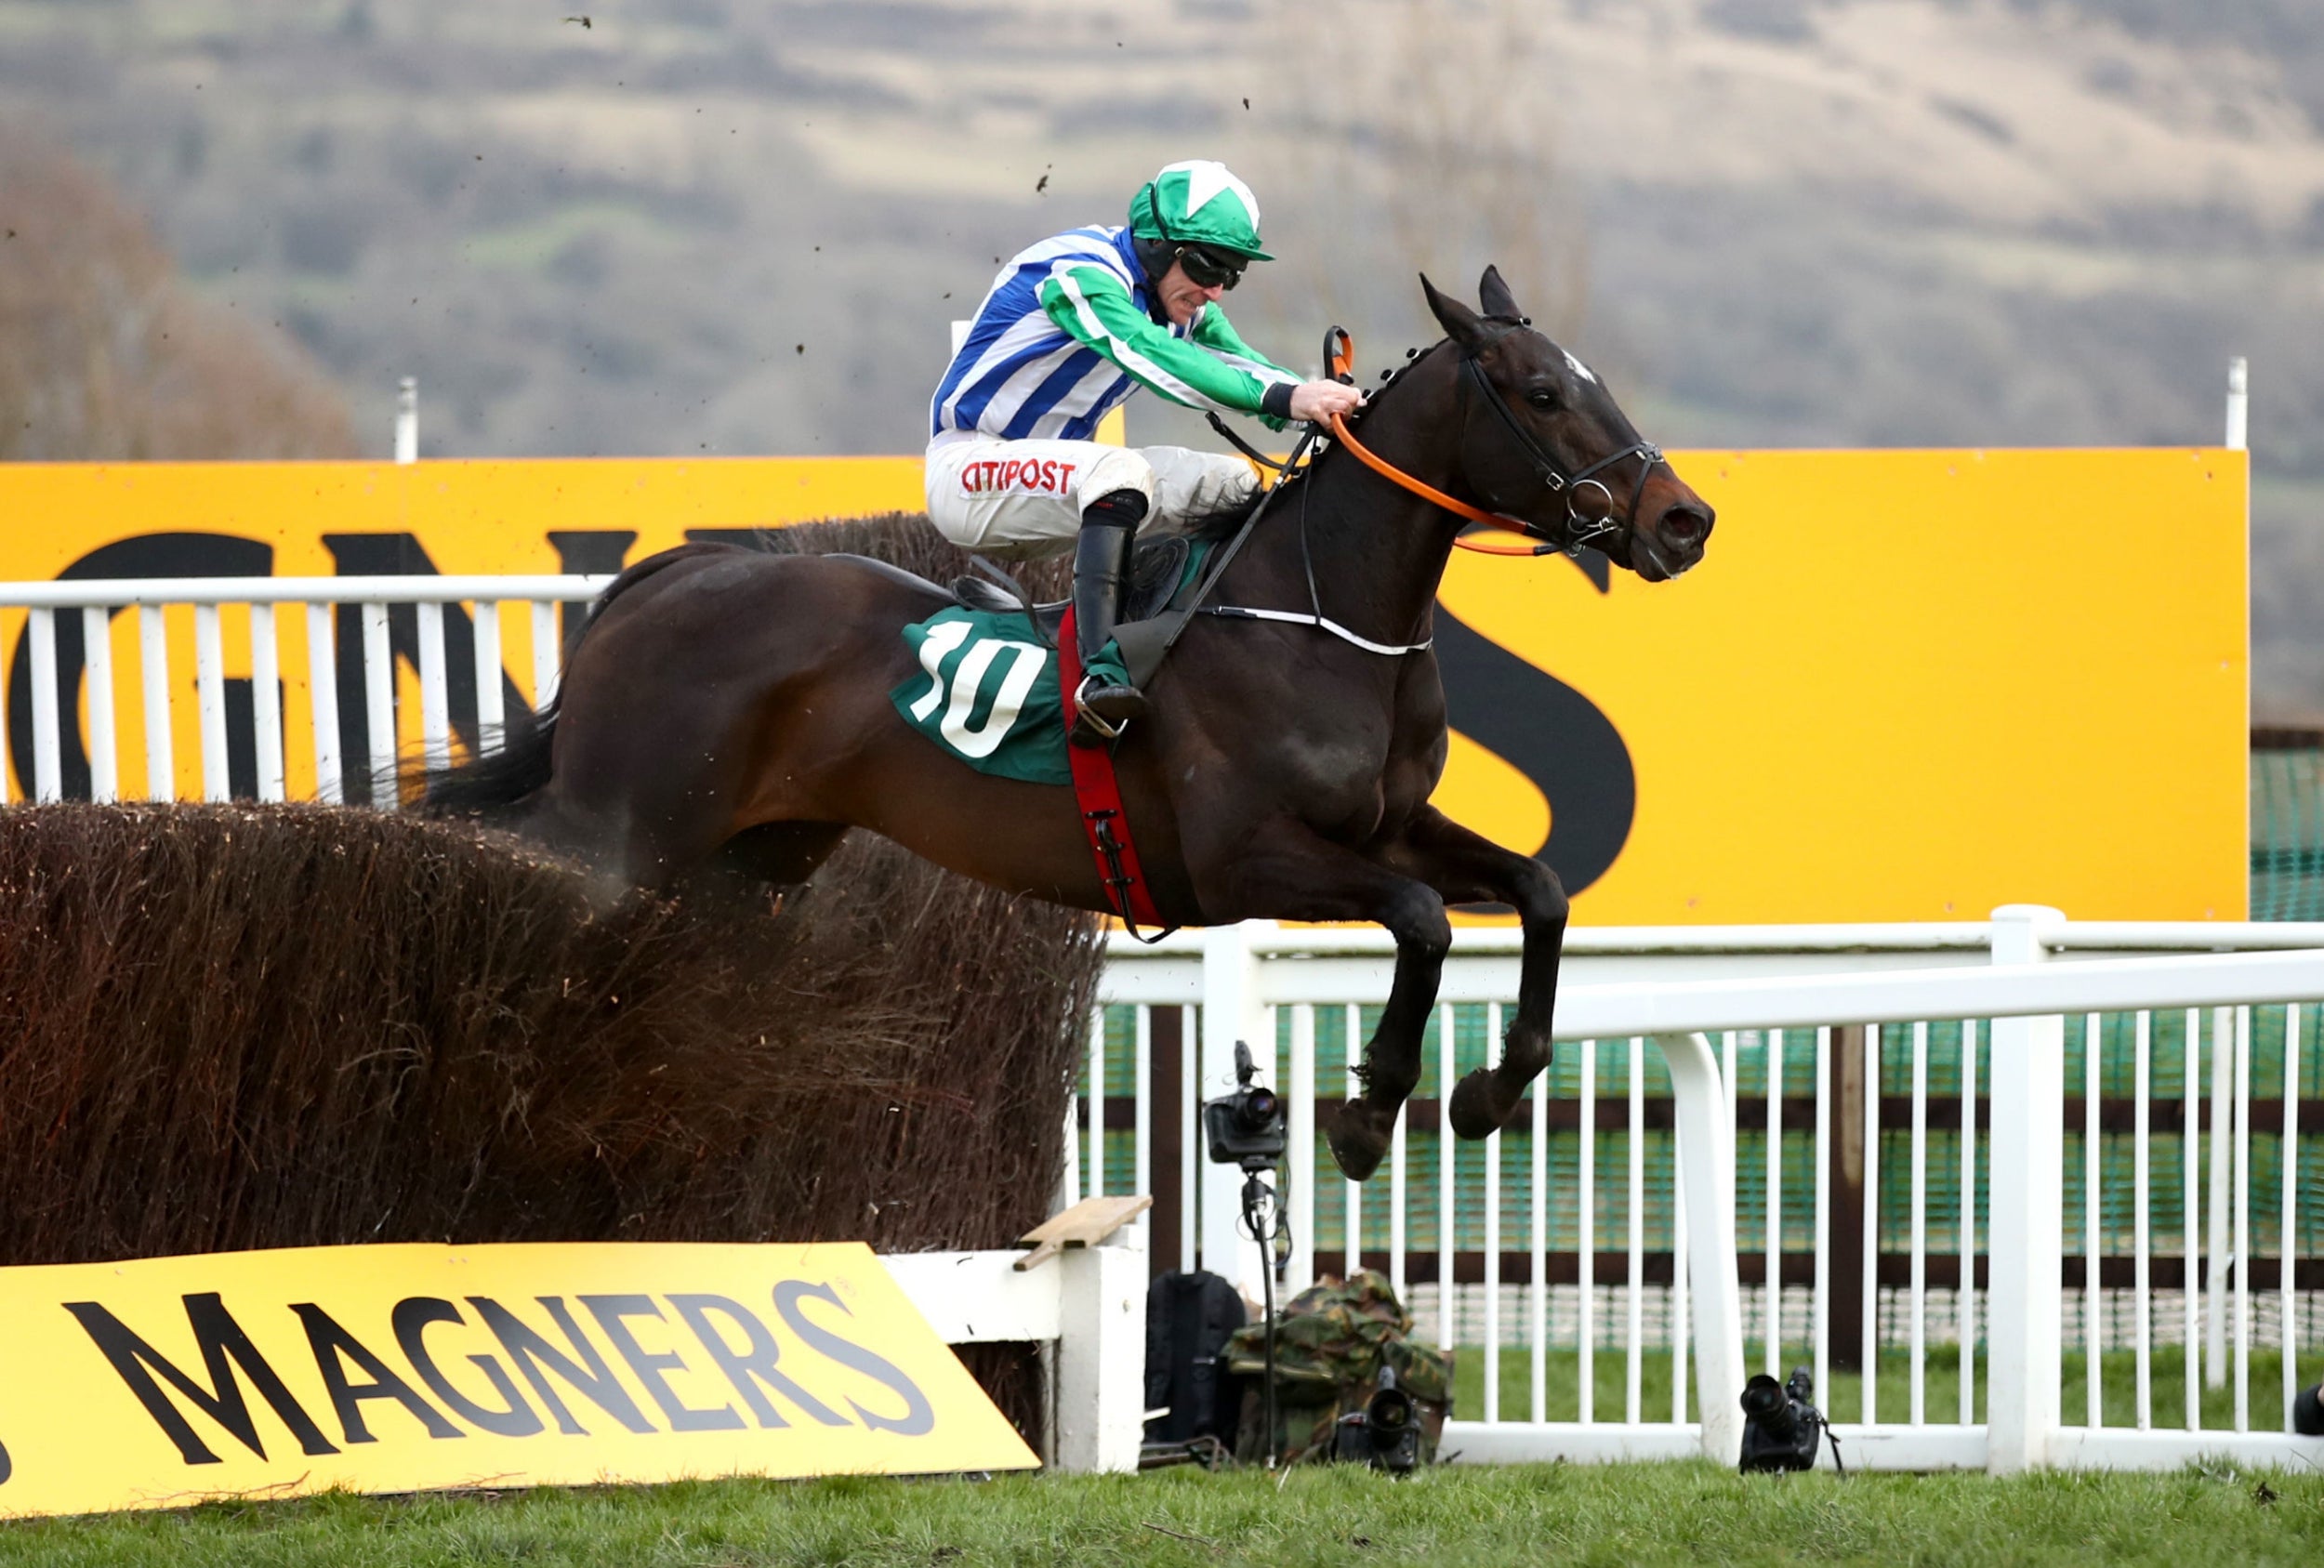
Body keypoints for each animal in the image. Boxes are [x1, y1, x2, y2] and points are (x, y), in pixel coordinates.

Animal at [428, 269, 1720, 1179]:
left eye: (1594, 381)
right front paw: (1365, 1111)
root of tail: (670, 576)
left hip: (750, 862)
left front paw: (1488, 1092)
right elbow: (1420, 922)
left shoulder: (1388, 827)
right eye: (1543, 392)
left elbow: (1538, 890)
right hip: (621, 832)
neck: (1319, 617)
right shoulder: (1243, 856)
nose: (1683, 519)